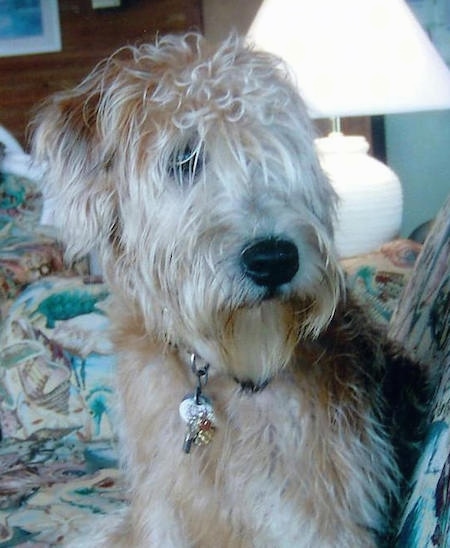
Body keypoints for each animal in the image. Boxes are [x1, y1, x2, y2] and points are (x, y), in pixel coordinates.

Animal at [32, 33, 428, 544]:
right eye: (184, 159)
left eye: (278, 155)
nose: (274, 259)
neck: (223, 372)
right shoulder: (161, 507)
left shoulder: (319, 518)